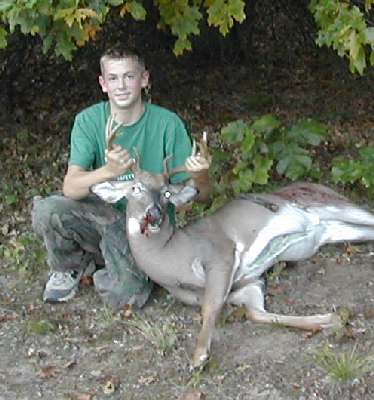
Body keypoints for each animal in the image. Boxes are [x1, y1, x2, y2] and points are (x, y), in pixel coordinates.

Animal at [92, 140, 374, 368]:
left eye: (167, 193)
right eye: (135, 188)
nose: (153, 214)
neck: (173, 259)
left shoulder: (222, 253)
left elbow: (210, 307)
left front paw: (198, 357)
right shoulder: (248, 284)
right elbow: (256, 313)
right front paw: (332, 319)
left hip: (333, 206)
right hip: (333, 230)